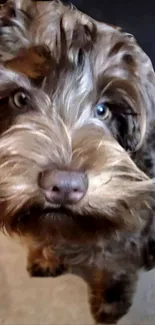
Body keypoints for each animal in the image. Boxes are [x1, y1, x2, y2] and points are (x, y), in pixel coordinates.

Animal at [0, 1, 155, 322]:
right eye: (20, 99)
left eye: (103, 110)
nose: (64, 186)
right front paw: (46, 256)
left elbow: (116, 267)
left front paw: (110, 304)